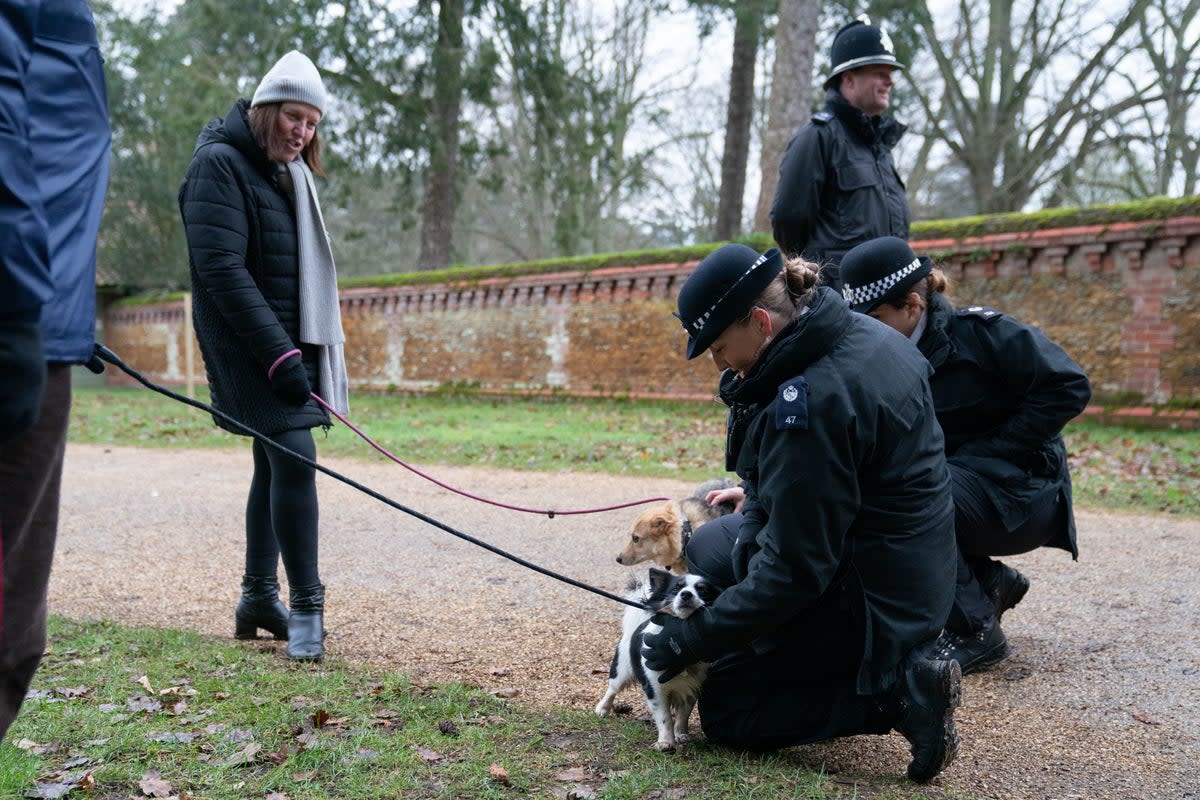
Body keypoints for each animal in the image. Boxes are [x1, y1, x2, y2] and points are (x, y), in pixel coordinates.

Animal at [592, 566, 715, 748]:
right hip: (621, 671)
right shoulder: (655, 690)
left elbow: (683, 715)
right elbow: (665, 718)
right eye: (676, 589)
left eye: (703, 590)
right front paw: (666, 742)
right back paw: (602, 708)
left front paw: (681, 734)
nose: (686, 594)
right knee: (612, 689)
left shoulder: (691, 689)